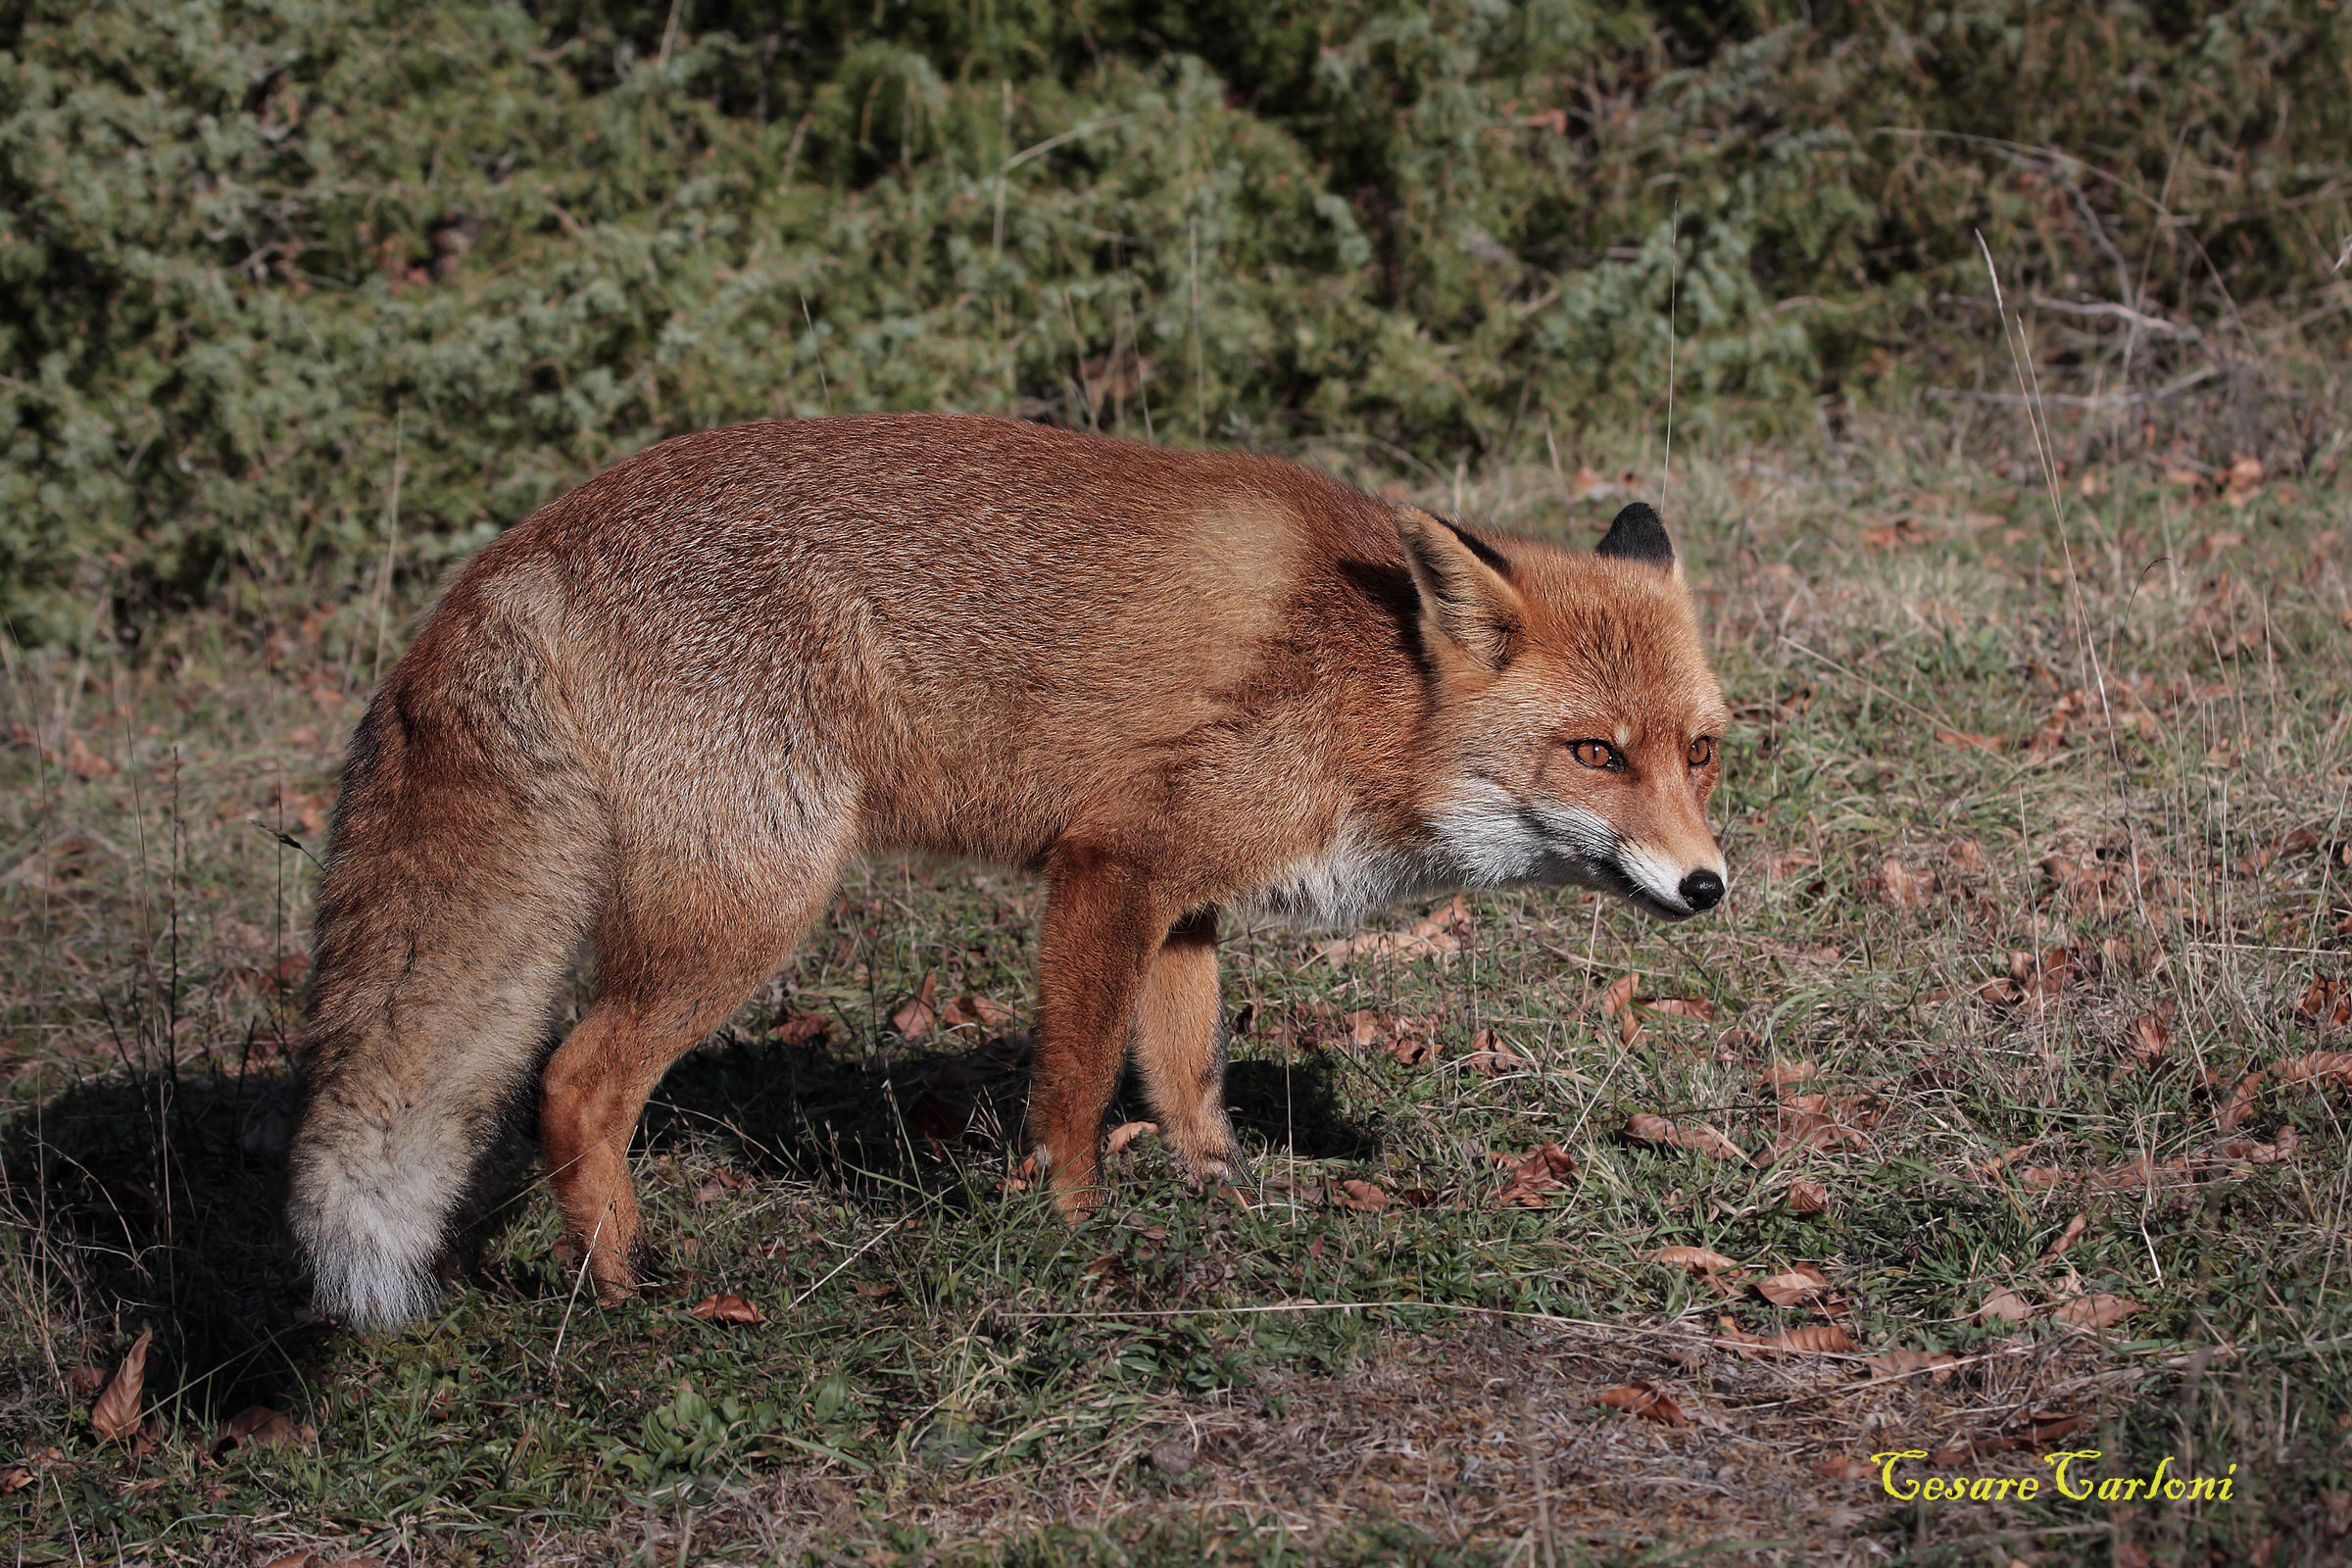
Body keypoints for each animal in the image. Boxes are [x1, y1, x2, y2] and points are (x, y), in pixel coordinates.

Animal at [286, 413, 1730, 1328]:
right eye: (1594, 752)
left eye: (1701, 753)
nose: (1708, 885)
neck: (1370, 681)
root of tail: (516, 550)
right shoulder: (1105, 865)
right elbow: (1077, 1083)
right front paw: (1071, 1234)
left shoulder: (1182, 897)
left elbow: (1188, 1073)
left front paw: (1222, 1198)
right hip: (750, 912)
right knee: (575, 1083)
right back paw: (628, 1293)